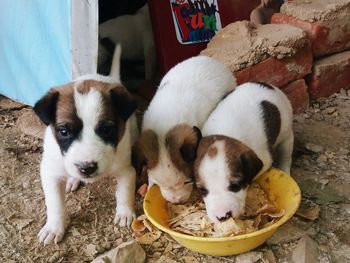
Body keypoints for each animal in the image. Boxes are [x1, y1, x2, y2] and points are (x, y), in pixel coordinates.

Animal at [33, 45, 138, 245]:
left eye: (106, 130)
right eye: (64, 132)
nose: (86, 168)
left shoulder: (126, 170)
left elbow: (124, 192)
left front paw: (125, 213)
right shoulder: (50, 173)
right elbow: (55, 204)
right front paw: (54, 227)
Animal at [193, 82, 294, 223]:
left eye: (235, 185)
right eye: (202, 190)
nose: (222, 217)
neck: (224, 133)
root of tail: (266, 84)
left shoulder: (264, 159)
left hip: (286, 132)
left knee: (286, 154)